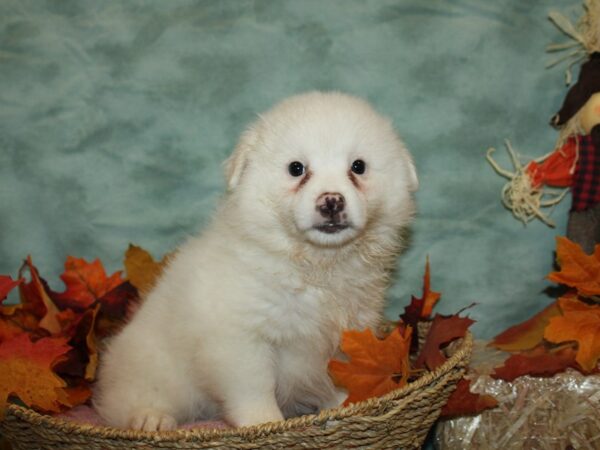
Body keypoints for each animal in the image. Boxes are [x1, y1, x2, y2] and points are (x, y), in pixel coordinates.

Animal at [95, 92, 418, 432]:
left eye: (358, 167)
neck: (314, 265)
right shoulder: (241, 340)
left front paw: (347, 406)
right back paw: (150, 418)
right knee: (128, 400)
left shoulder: (344, 337)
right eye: (296, 168)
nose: (331, 201)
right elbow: (255, 389)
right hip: (153, 370)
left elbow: (338, 379)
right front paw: (264, 422)